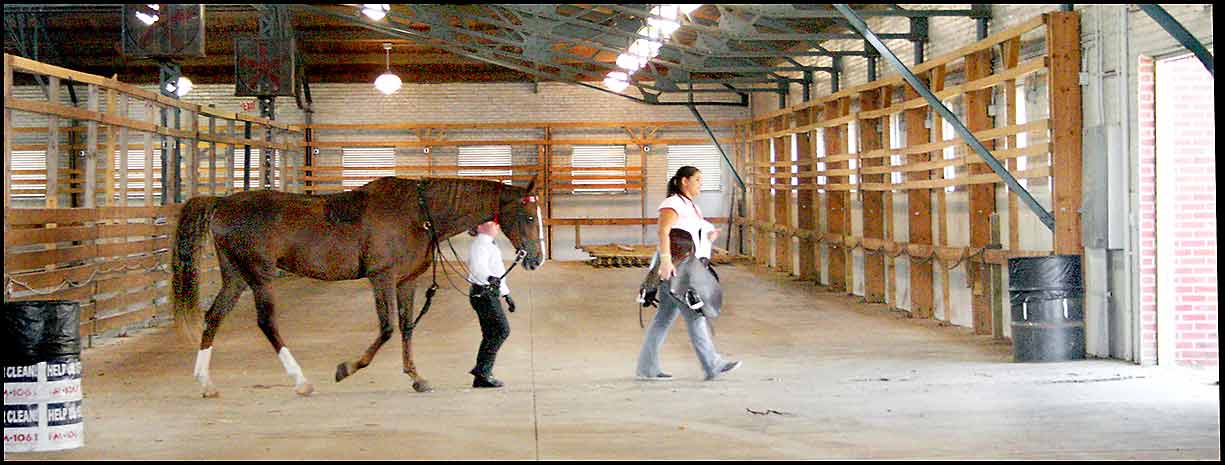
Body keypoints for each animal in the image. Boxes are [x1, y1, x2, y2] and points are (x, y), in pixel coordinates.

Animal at [170, 176, 543, 398]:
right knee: (266, 323)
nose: (536, 259)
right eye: (527, 217)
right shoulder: (382, 278)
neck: (418, 214)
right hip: (260, 276)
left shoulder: (406, 282)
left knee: (213, 317)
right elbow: (388, 328)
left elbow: (407, 328)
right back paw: (301, 381)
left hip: (235, 277)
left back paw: (206, 382)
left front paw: (416, 377)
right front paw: (346, 369)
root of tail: (223, 203)